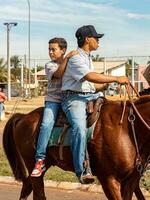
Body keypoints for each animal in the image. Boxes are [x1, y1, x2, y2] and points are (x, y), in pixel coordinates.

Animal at [2, 91, 150, 199]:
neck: (127, 128)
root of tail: (23, 117)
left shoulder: (130, 181)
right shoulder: (109, 179)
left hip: (45, 164)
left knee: (27, 187)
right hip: (33, 163)